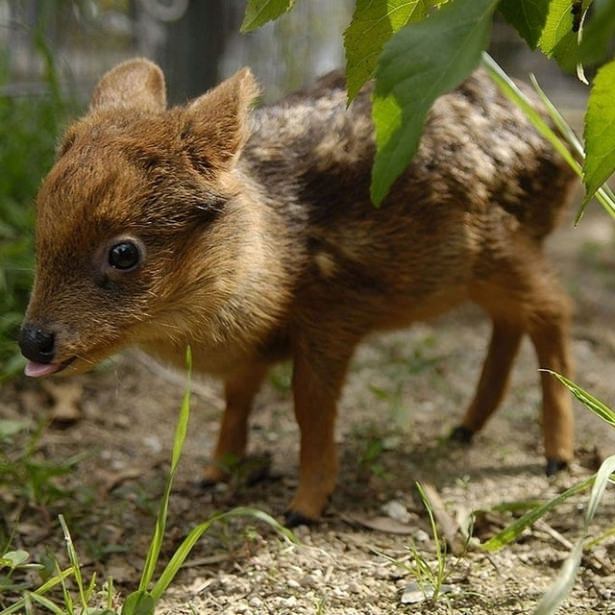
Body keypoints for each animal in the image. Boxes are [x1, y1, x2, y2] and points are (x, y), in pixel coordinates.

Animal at [19, 59, 576, 524]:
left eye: (124, 252)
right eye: (41, 225)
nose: (32, 341)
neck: (278, 255)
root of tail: (561, 142)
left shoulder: (332, 316)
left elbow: (309, 409)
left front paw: (304, 508)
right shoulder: (252, 351)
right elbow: (237, 397)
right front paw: (215, 472)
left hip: (505, 245)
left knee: (552, 311)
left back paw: (557, 456)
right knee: (512, 321)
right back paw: (466, 427)